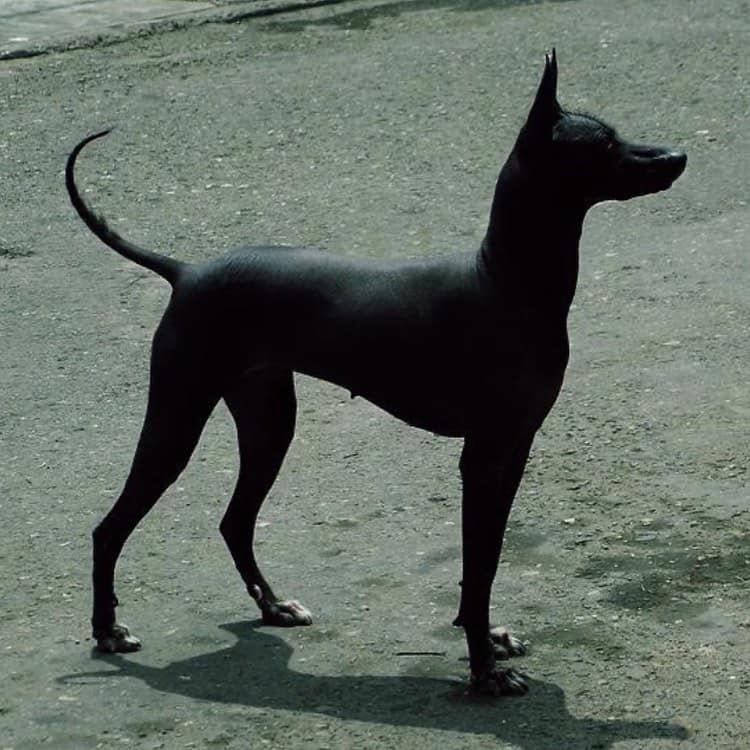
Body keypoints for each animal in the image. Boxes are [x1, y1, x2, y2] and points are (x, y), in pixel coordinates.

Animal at [66, 53, 688, 700]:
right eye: (602, 146)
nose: (678, 156)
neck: (505, 282)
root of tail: (186, 271)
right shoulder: (483, 458)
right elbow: (479, 566)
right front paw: (484, 671)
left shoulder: (515, 452)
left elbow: (486, 563)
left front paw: (486, 639)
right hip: (177, 421)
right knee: (110, 528)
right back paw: (108, 630)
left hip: (269, 423)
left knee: (235, 521)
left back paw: (272, 607)